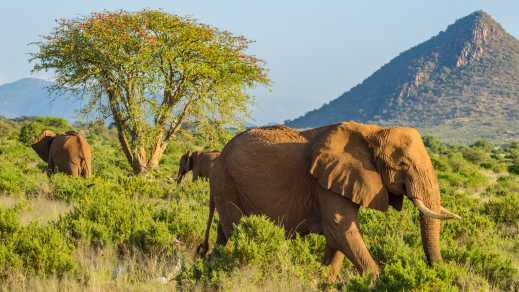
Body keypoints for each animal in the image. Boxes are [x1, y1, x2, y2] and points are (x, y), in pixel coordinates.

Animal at [205, 122, 462, 280]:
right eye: (403, 165)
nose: (441, 271)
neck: (372, 131)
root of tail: (219, 154)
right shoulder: (324, 182)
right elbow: (340, 229)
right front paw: (377, 281)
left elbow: (338, 238)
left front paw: (324, 281)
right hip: (226, 182)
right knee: (234, 227)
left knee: (222, 234)